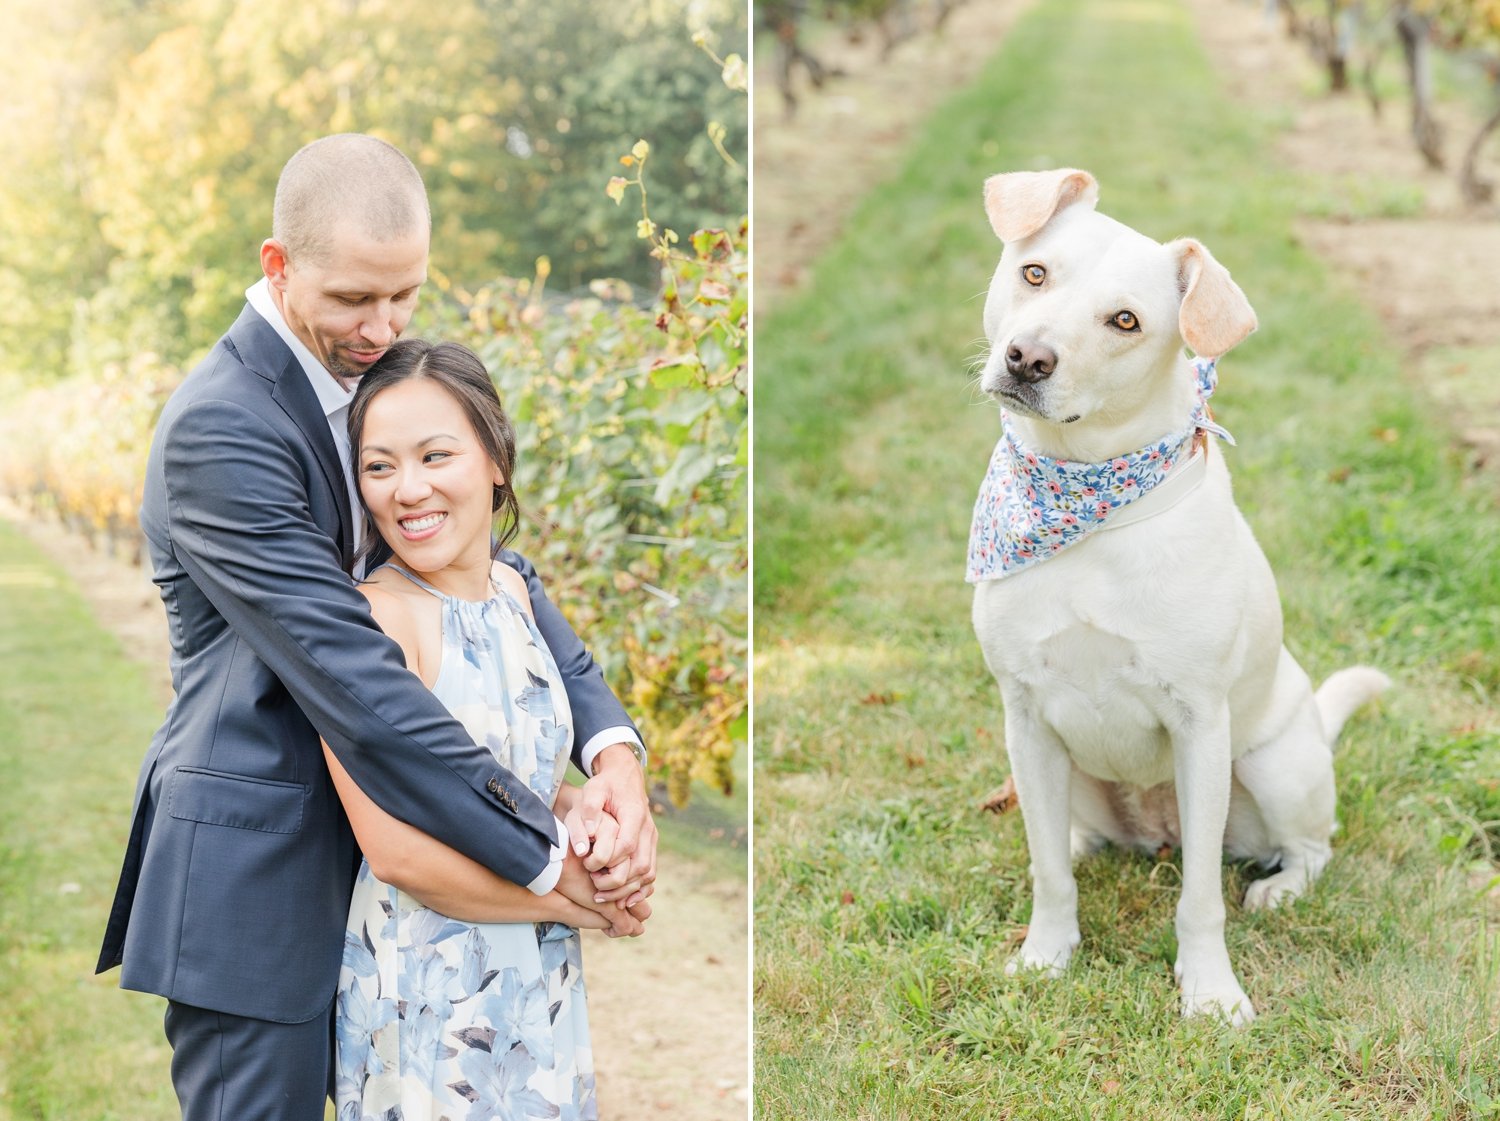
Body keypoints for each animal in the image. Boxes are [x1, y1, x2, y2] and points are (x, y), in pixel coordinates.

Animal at [966, 168, 1386, 1026]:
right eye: (1034, 272)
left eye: (1125, 320)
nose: (1027, 358)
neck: (1084, 506)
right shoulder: (1025, 714)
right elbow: (1048, 875)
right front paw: (1046, 955)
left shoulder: (1198, 724)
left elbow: (1199, 900)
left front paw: (1211, 990)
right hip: (1062, 772)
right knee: (1064, 838)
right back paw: (1074, 841)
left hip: (1271, 763)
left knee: (1307, 848)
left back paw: (1280, 887)